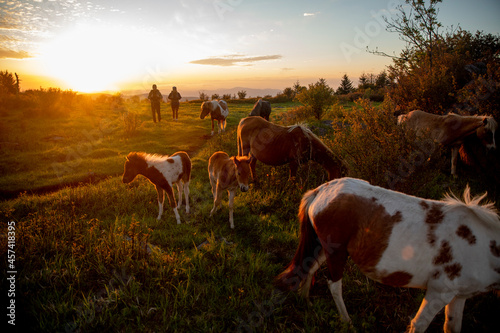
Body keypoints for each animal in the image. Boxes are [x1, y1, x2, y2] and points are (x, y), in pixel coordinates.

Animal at [278, 175, 500, 330]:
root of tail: (322, 190)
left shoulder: (459, 296)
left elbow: (452, 327)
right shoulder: (439, 291)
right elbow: (418, 325)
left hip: (325, 248)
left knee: (310, 267)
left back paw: (306, 302)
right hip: (336, 253)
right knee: (333, 285)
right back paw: (347, 321)